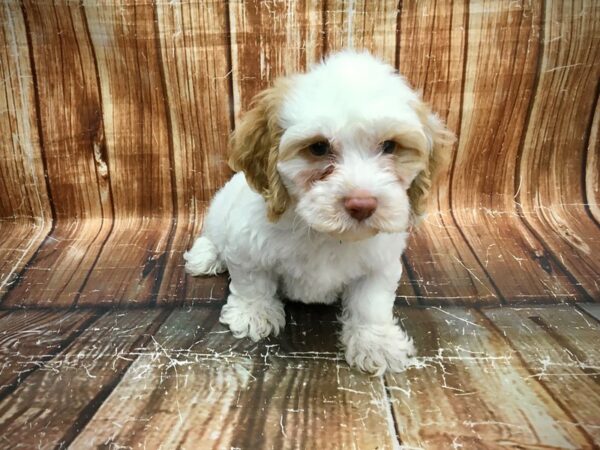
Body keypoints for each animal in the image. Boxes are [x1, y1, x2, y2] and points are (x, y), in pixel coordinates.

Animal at [185, 49, 452, 374]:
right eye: (319, 148)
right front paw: (253, 314)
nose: (362, 204)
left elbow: (371, 303)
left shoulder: (380, 263)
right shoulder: (247, 246)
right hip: (219, 209)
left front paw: (376, 343)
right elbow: (252, 283)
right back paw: (205, 256)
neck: (324, 232)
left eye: (389, 146)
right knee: (212, 235)